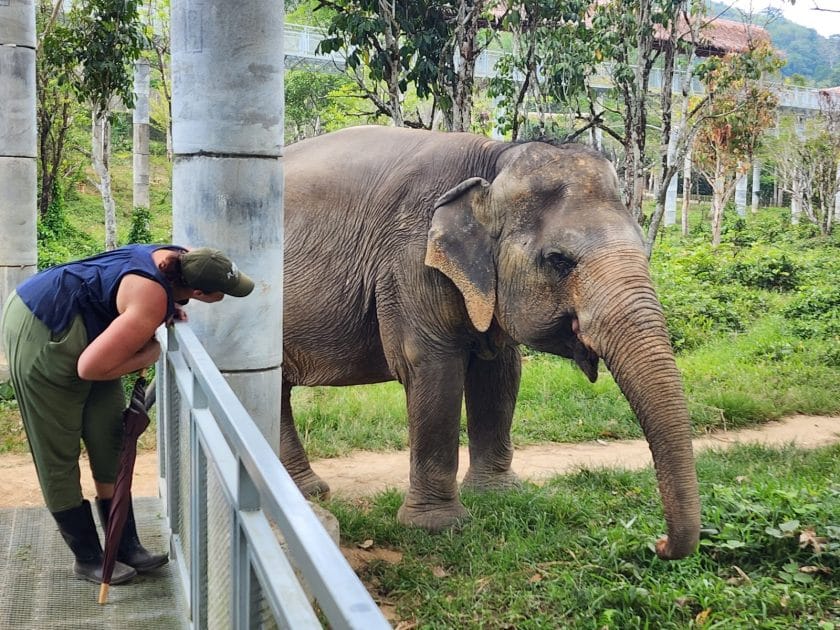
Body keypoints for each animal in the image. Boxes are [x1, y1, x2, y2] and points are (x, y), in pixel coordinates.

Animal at [281, 125, 700, 560]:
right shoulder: (409, 264)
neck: (495, 158)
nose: (660, 544)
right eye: (559, 260)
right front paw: (438, 527)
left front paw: (497, 496)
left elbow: (499, 371)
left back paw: (308, 493)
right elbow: (433, 368)